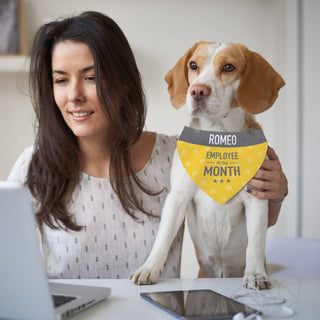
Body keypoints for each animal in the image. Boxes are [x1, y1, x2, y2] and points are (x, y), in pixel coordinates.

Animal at [130, 41, 284, 288]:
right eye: (193, 65)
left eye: (229, 67)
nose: (197, 91)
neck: (219, 138)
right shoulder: (178, 196)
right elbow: (163, 238)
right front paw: (149, 268)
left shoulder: (257, 198)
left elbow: (255, 245)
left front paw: (256, 274)